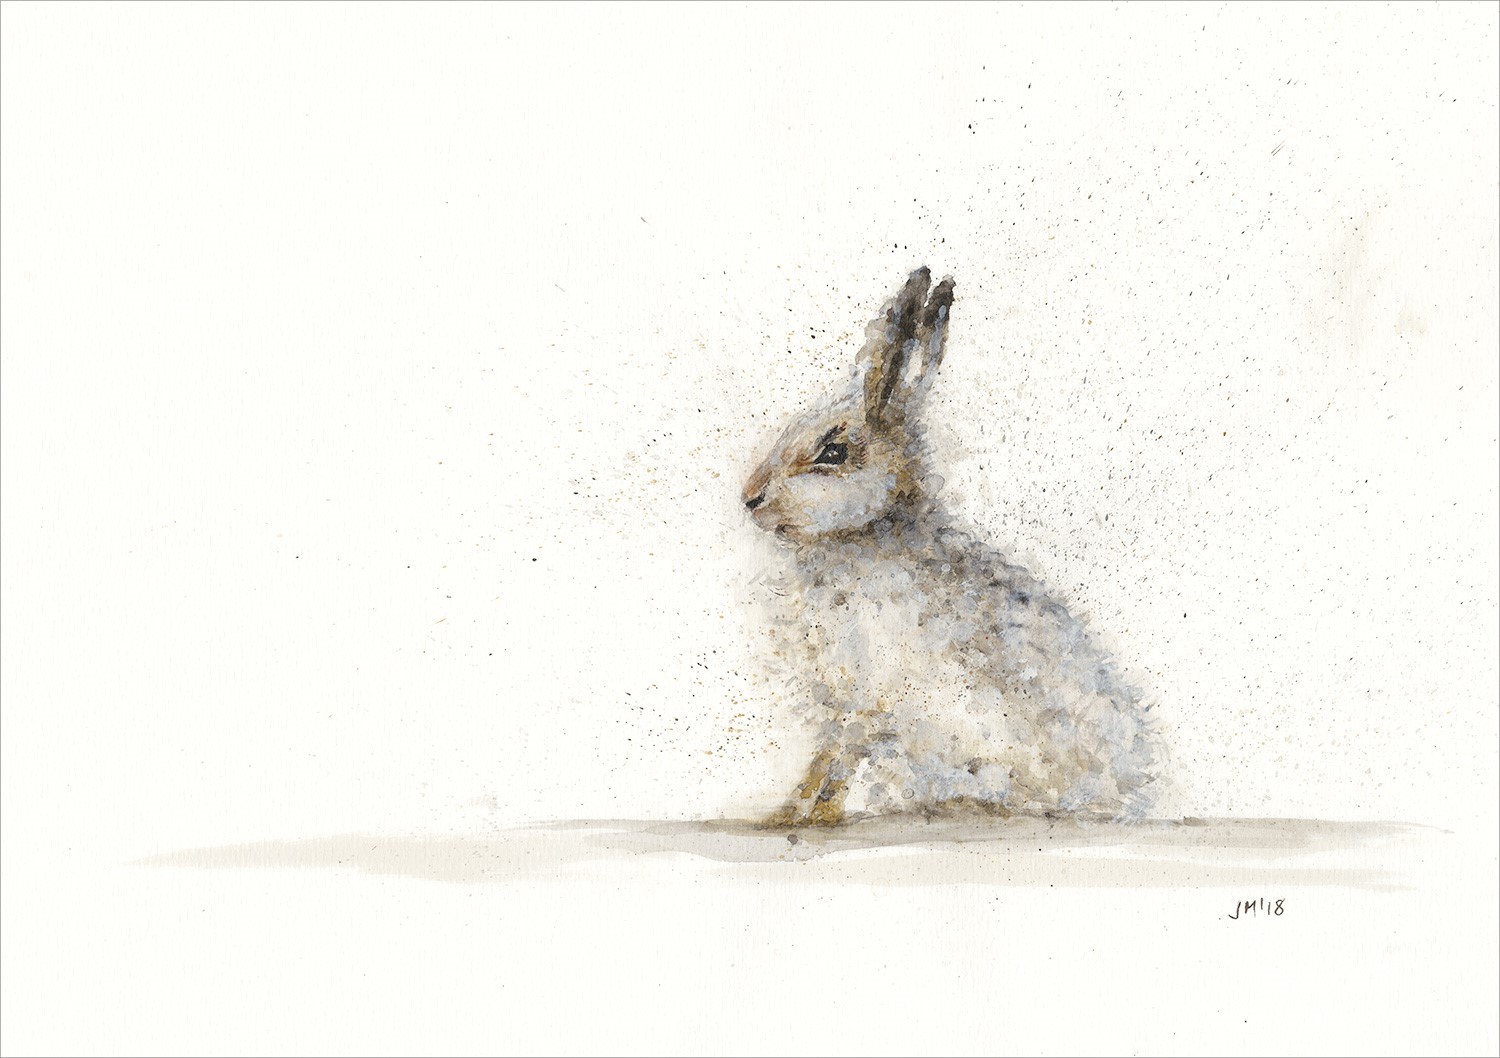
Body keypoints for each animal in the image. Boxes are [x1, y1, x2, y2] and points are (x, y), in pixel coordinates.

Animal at [742, 267, 1165, 827]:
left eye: (832, 452)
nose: (749, 498)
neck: (864, 535)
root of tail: (1130, 793)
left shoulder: (868, 697)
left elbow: (840, 756)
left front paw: (814, 817)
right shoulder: (841, 699)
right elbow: (826, 756)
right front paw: (785, 815)